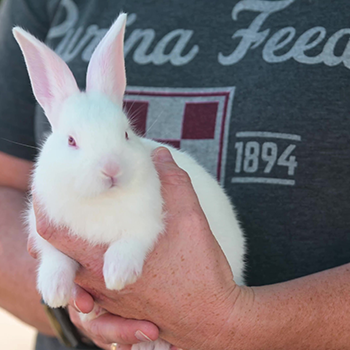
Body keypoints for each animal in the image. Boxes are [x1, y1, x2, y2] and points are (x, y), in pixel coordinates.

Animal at [13, 12, 243, 350]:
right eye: (71, 141)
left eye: (125, 134)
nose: (111, 169)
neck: (99, 199)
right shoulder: (44, 230)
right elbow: (55, 259)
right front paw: (55, 292)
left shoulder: (147, 222)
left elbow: (129, 243)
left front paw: (117, 276)